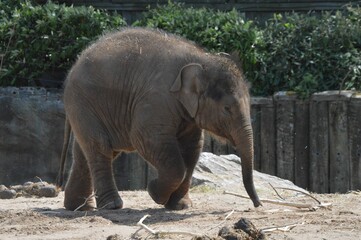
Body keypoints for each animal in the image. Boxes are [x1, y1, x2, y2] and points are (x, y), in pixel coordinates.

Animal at [55, 27, 258, 210]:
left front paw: (180, 206)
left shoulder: (188, 114)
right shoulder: (156, 100)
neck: (201, 58)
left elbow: (192, 148)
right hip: (83, 102)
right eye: (227, 108)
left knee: (86, 154)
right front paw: (154, 192)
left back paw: (79, 207)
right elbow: (146, 138)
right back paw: (112, 206)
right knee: (101, 148)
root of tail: (72, 69)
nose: (257, 204)